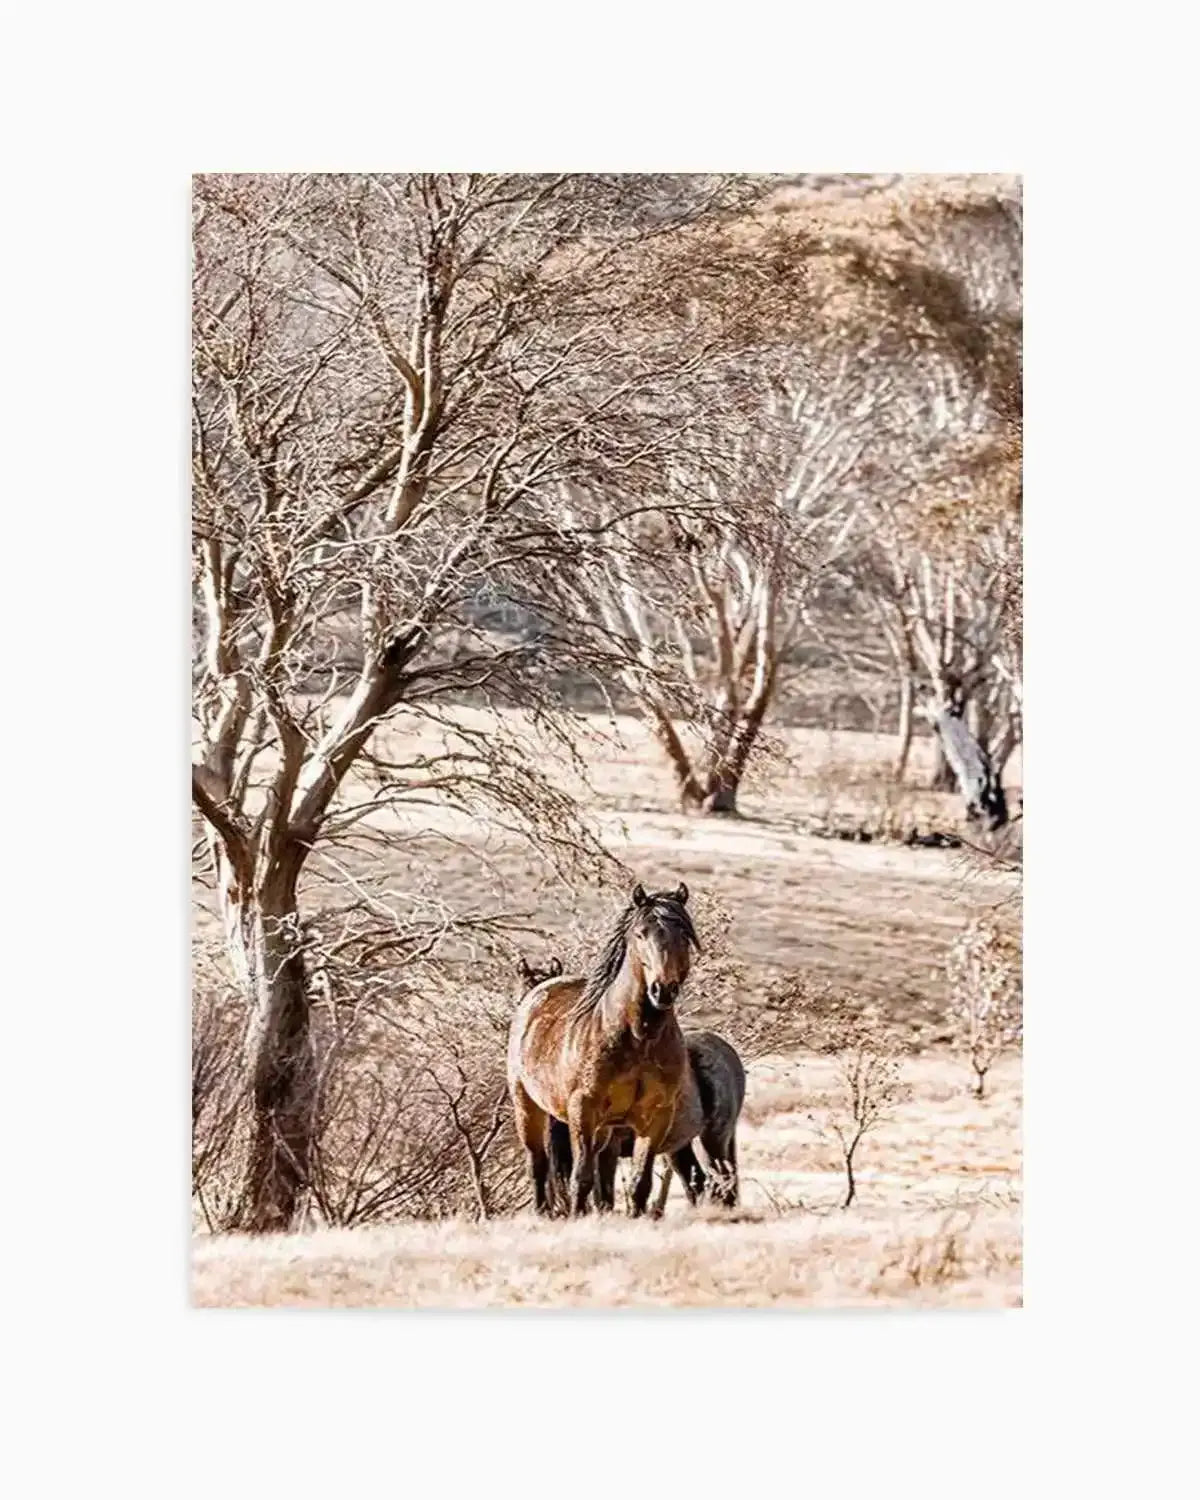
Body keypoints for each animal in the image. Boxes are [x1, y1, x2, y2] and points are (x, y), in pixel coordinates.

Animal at [506, 881, 699, 1217]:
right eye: (641, 933)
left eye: (684, 935)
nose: (663, 990)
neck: (638, 1036)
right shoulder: (583, 1110)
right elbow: (581, 1177)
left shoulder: (656, 1116)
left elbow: (639, 1182)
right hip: (528, 1107)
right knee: (538, 1164)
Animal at [548, 1029, 745, 1215]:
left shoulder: (608, 1147)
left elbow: (604, 1192)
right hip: (679, 1147)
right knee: (697, 1179)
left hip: (712, 1139)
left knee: (722, 1177)